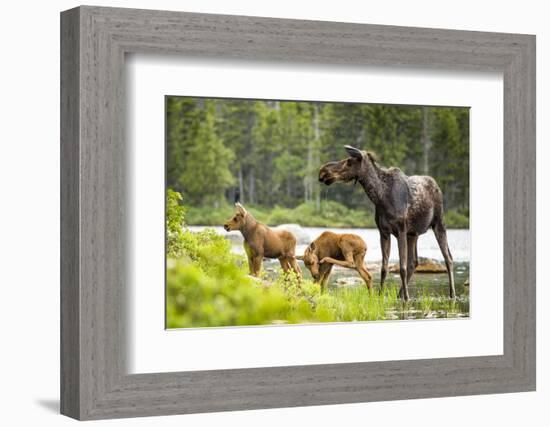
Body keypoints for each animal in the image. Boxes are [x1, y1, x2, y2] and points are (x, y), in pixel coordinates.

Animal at [320, 146, 458, 300]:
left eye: (349, 161)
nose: (323, 171)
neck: (380, 198)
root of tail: (437, 185)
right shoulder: (384, 232)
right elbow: (384, 268)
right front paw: (381, 294)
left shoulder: (401, 230)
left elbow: (402, 267)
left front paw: (407, 298)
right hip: (413, 233)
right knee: (414, 262)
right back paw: (399, 294)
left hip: (438, 223)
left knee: (448, 258)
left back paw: (451, 294)